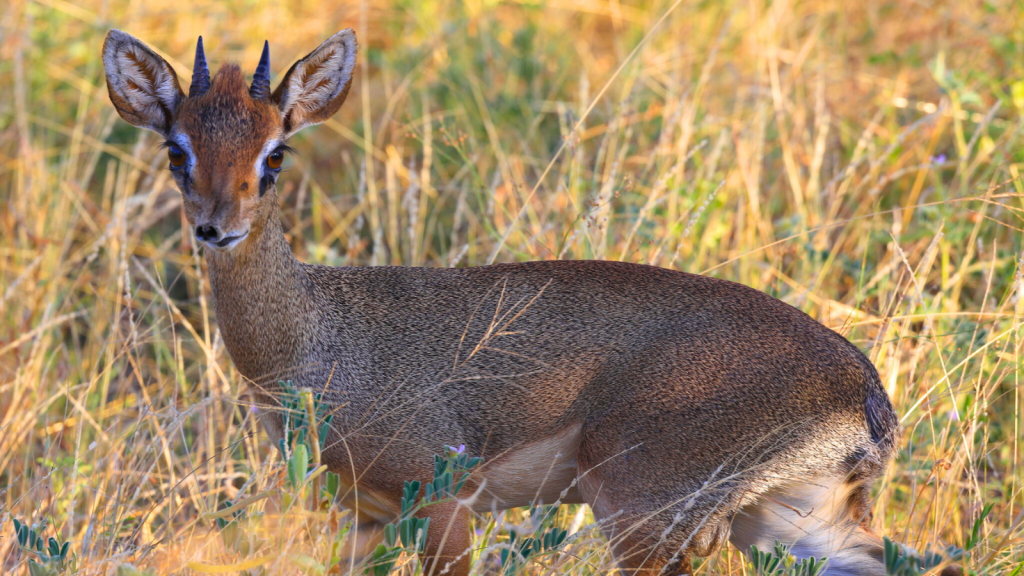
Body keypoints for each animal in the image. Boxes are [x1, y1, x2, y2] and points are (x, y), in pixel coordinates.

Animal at [103, 30, 921, 573]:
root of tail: (866, 394)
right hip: (795, 520)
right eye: (176, 149)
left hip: (647, 514)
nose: (217, 227)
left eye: (276, 153)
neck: (316, 337)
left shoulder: (442, 500)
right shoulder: (363, 513)